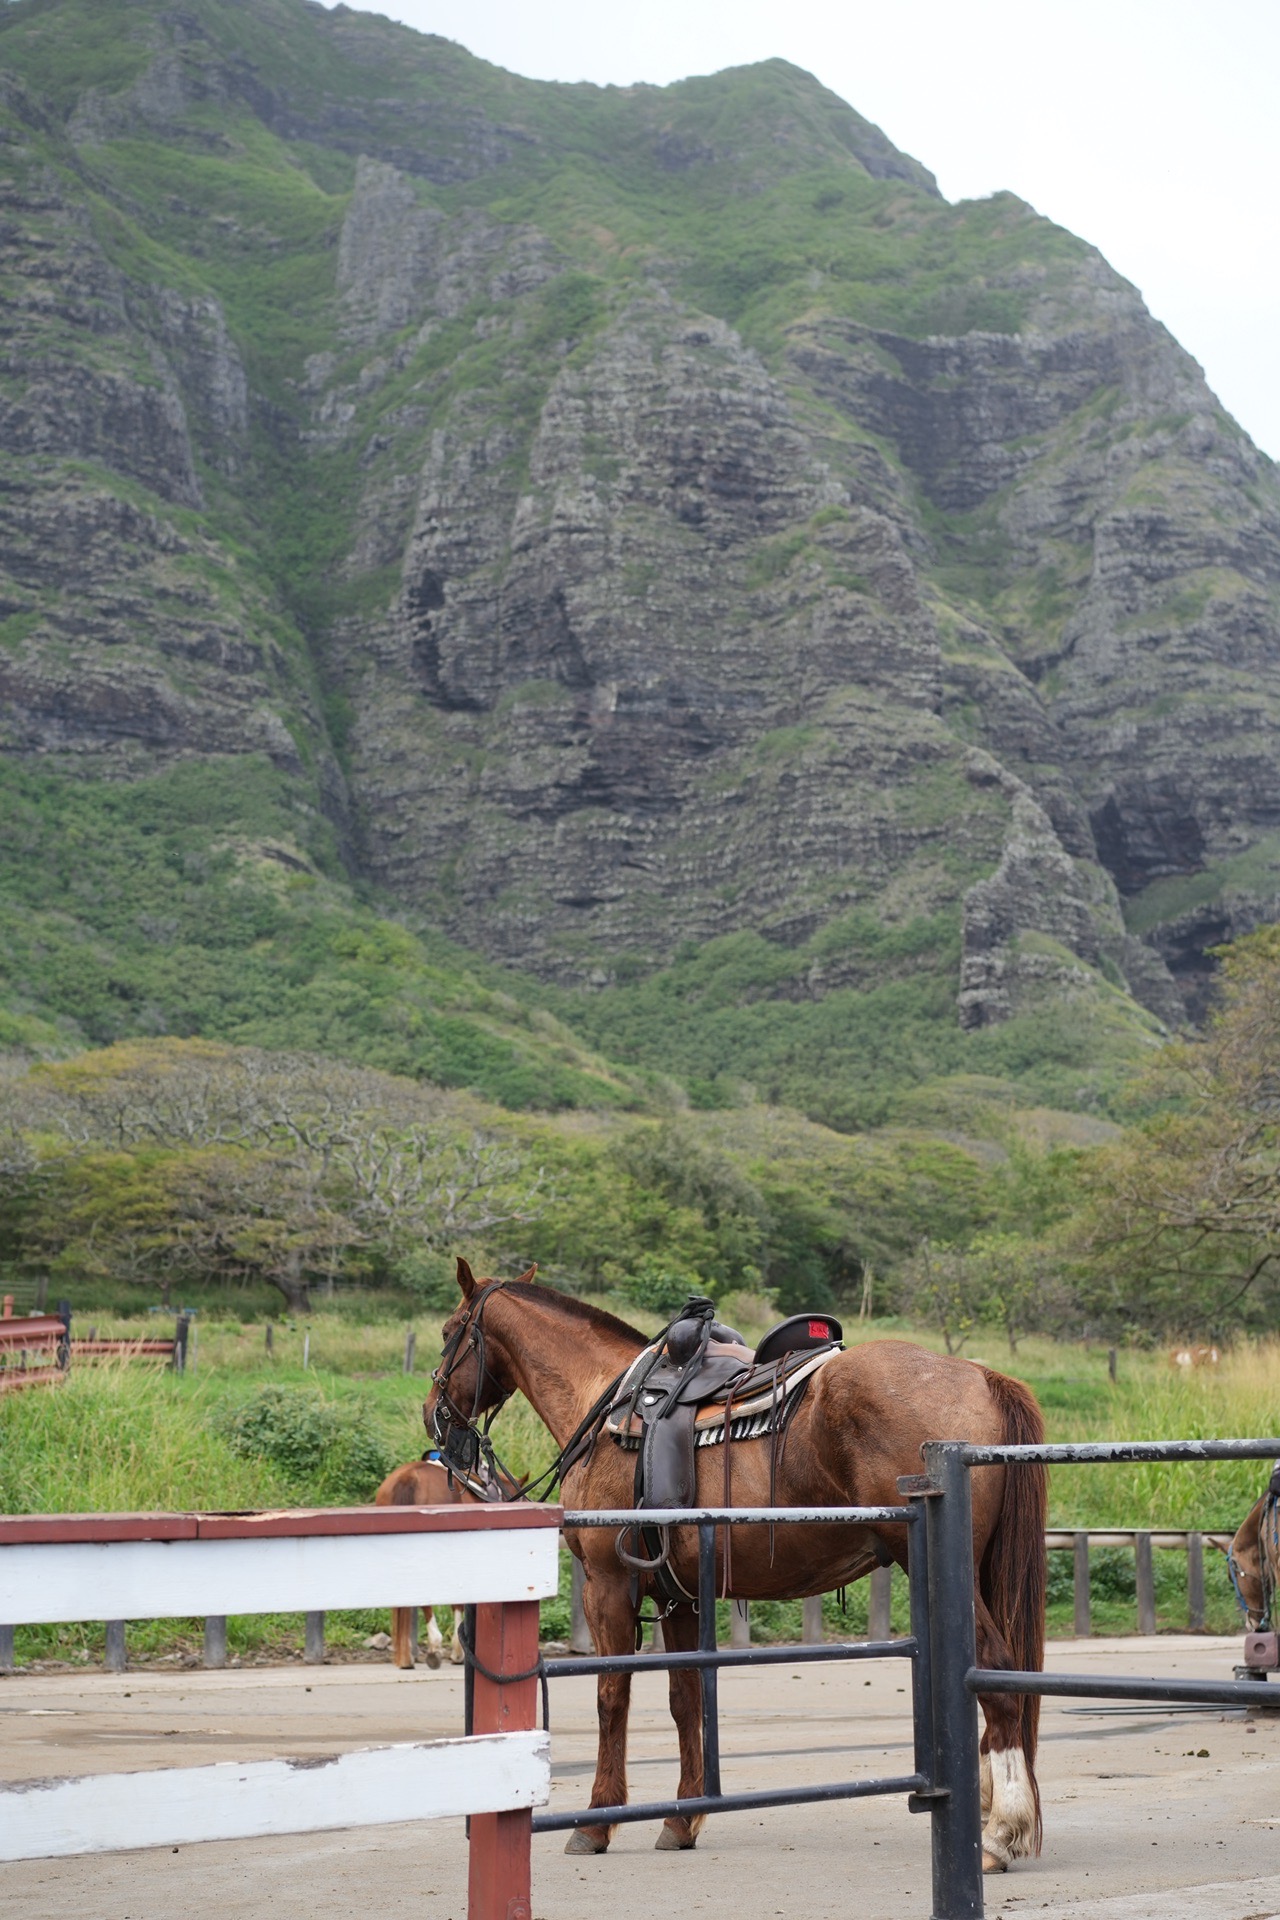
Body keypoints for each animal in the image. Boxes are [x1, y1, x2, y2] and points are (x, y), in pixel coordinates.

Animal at [426, 1259, 1043, 1873]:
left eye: (449, 1331)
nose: (435, 1419)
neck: (603, 1402)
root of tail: (984, 1378)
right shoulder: (678, 1596)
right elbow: (684, 1699)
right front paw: (682, 1818)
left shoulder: (607, 1584)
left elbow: (611, 1696)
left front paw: (596, 1823)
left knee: (996, 1670)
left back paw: (999, 1832)